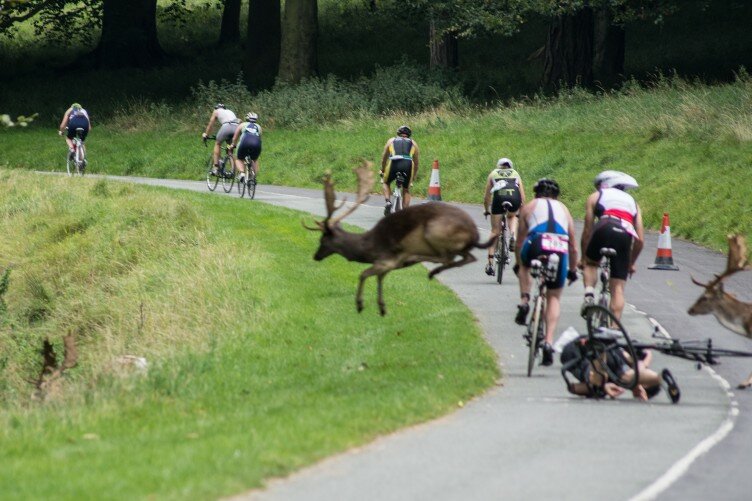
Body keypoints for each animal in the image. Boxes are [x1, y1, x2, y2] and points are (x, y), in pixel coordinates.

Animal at [304, 163, 498, 316]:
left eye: (322, 239)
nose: (315, 256)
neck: (368, 247)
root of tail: (474, 233)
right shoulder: (384, 265)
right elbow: (378, 277)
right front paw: (381, 307)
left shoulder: (385, 259)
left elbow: (363, 274)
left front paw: (360, 305)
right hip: (458, 245)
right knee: (468, 257)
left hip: (434, 232)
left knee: (446, 257)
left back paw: (425, 266)